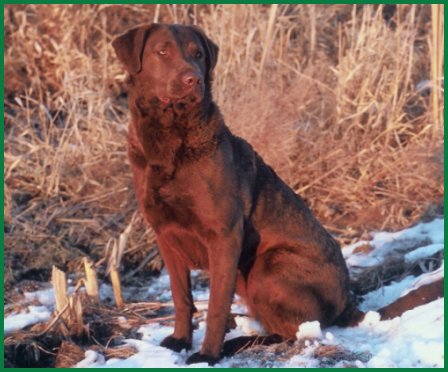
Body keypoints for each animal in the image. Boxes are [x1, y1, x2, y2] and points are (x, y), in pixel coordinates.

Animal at [113, 22, 444, 364]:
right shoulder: (165, 236)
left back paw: (235, 344)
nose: (193, 79)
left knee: (297, 330)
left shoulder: (224, 235)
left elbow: (216, 305)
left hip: (266, 268)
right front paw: (179, 341)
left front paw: (207, 355)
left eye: (198, 54)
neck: (171, 140)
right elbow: (182, 298)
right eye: (162, 51)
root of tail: (346, 303)